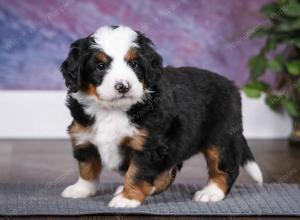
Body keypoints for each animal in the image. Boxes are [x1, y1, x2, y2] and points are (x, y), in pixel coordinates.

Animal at [60, 25, 262, 208]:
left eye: (134, 64)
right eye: (100, 66)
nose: (123, 86)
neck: (112, 110)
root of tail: (231, 85)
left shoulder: (148, 145)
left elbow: (136, 173)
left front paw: (128, 199)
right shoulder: (84, 137)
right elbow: (87, 167)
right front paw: (81, 189)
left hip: (220, 138)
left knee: (224, 168)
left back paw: (212, 192)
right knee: (169, 171)